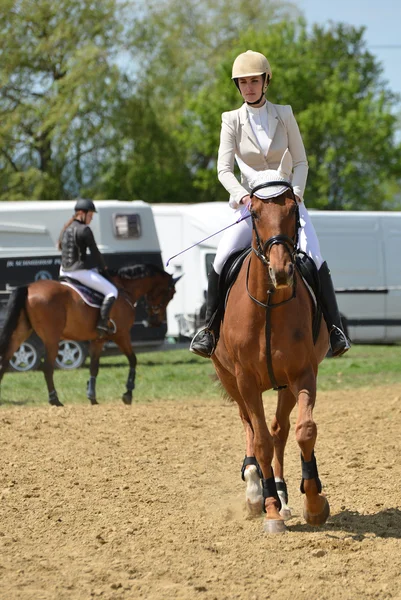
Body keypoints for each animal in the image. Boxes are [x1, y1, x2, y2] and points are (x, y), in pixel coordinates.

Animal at [0, 264, 178, 406]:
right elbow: (133, 360)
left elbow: (94, 367)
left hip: (21, 333)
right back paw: (55, 400)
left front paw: (92, 397)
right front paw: (128, 394)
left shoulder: (98, 340)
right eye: (171, 294)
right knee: (48, 367)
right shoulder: (121, 335)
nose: (155, 321)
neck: (124, 289)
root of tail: (29, 287)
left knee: (5, 361)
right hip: (52, 339)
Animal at [211, 185, 330, 532]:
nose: (281, 271)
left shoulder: (301, 375)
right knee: (250, 425)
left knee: (280, 429)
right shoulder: (245, 380)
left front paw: (313, 503)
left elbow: (304, 431)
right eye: (254, 213)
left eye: (292, 209)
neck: (268, 304)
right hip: (229, 379)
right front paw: (270, 509)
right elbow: (261, 439)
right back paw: (255, 489)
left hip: (283, 387)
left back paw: (281, 493)